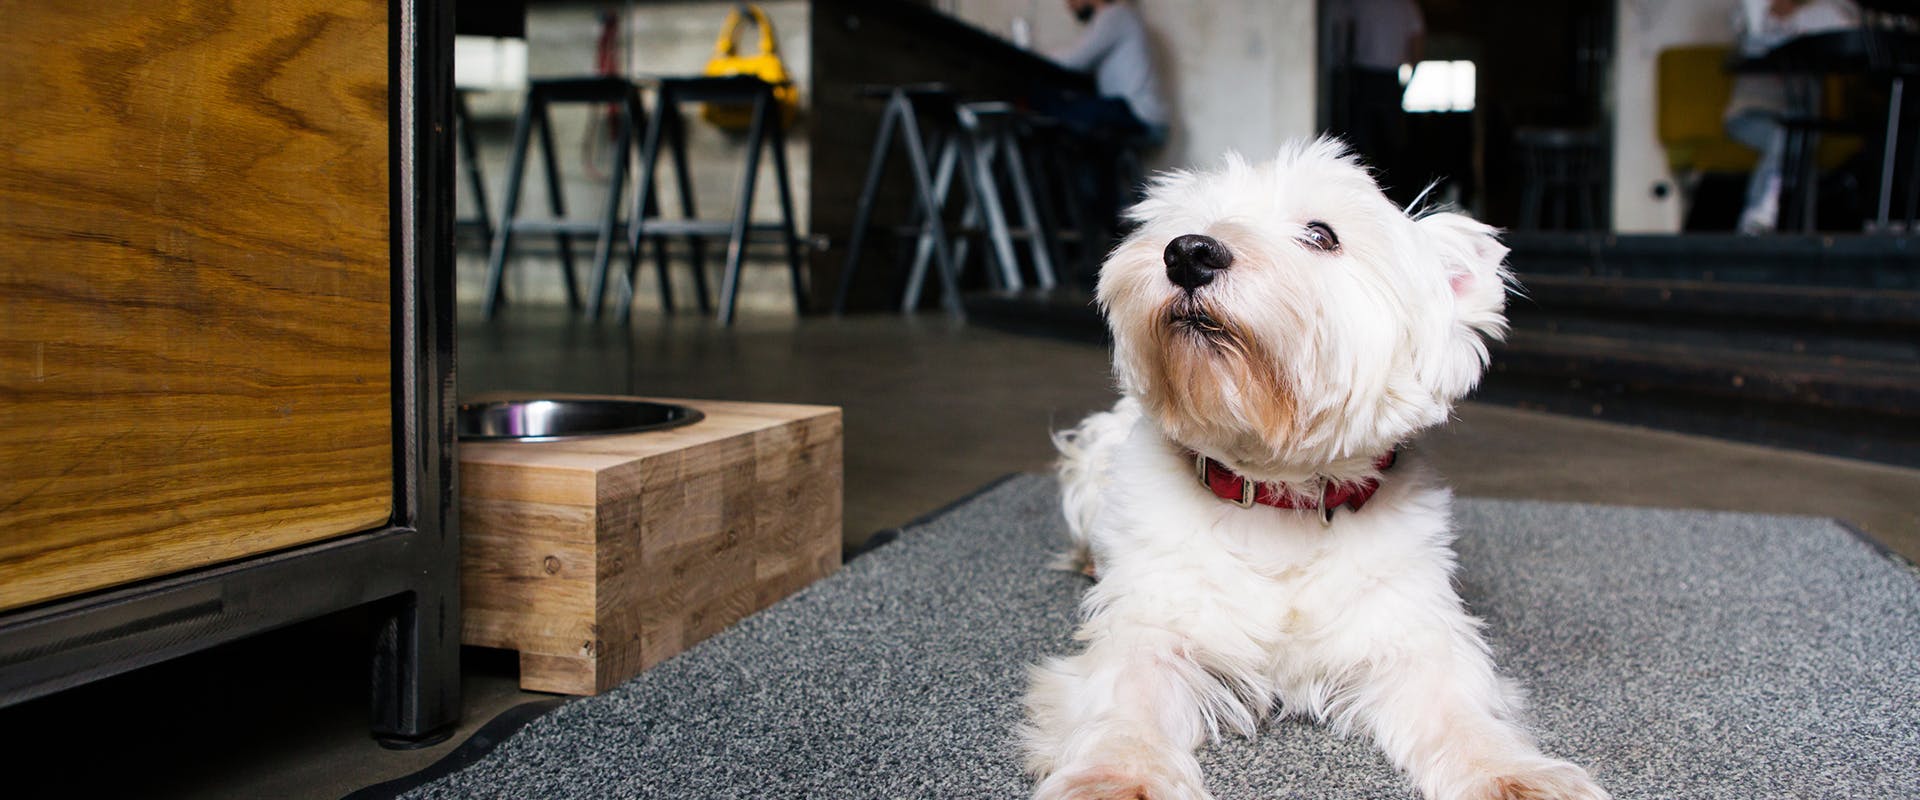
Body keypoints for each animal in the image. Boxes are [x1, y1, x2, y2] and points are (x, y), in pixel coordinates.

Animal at [1021, 140, 1605, 798]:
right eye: (1180, 223)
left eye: (1322, 235)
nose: (1189, 252)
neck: (1278, 492)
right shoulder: (1152, 626)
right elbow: (1126, 706)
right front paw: (1116, 777)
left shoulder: (1410, 633)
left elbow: (1460, 715)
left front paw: (1516, 774)